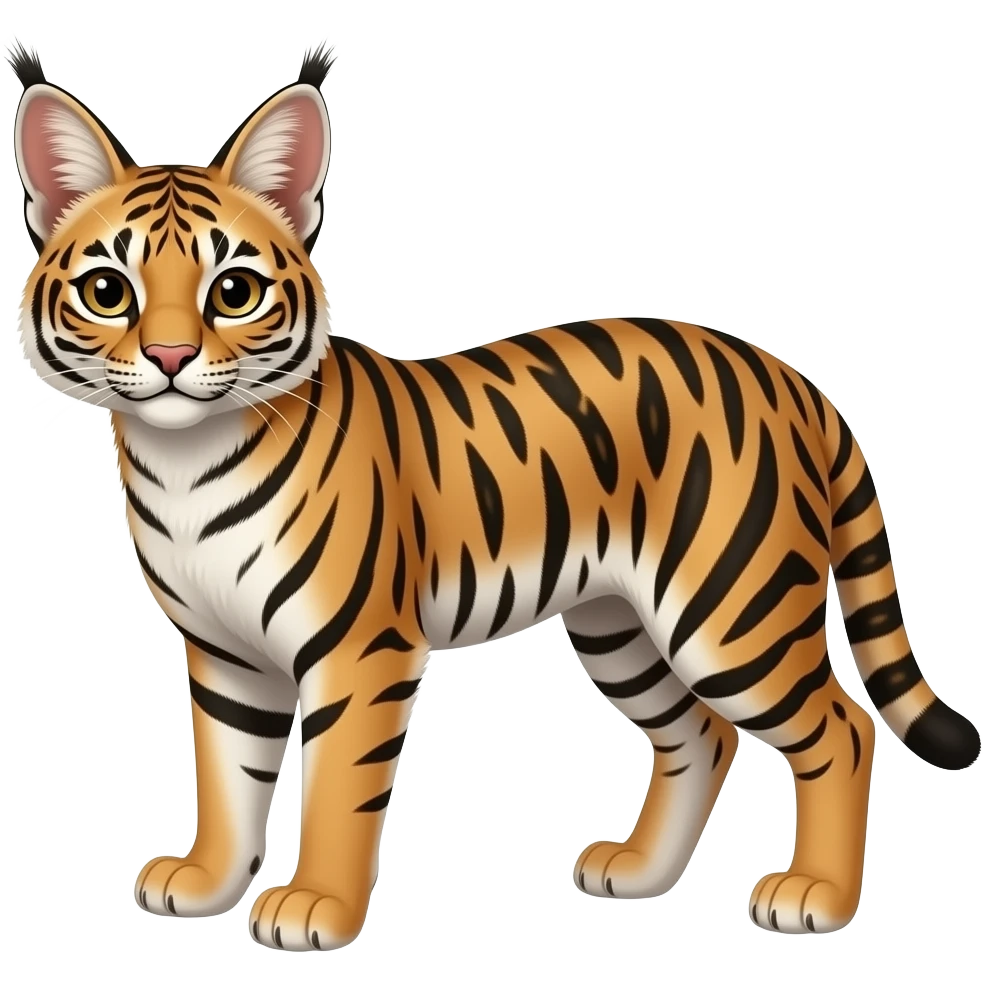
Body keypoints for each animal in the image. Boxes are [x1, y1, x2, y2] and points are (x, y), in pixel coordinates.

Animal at [9, 37, 980, 952]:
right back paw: (638, 870)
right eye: (109, 291)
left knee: (840, 727)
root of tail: (790, 376)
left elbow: (334, 790)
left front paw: (315, 907)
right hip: (620, 625)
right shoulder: (224, 653)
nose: (171, 358)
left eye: (234, 291)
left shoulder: (359, 652)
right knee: (702, 733)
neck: (184, 459)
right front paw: (207, 880)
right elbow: (226, 776)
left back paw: (814, 895)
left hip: (732, 611)